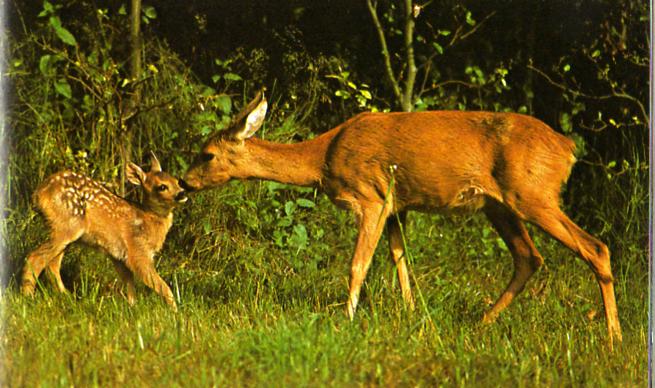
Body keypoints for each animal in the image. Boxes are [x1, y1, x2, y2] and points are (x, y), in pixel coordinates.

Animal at [22, 152, 187, 310]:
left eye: (176, 181)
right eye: (162, 187)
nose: (182, 193)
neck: (147, 219)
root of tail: (38, 194)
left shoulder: (117, 256)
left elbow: (129, 283)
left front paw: (132, 307)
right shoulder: (137, 252)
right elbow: (161, 286)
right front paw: (174, 311)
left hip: (65, 234)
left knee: (52, 265)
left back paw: (66, 298)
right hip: (66, 226)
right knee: (34, 258)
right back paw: (28, 298)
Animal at [182, 91, 624, 348]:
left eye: (207, 154)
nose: (183, 182)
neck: (322, 159)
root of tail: (567, 148)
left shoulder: (370, 197)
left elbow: (358, 264)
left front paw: (345, 320)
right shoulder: (397, 206)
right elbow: (401, 263)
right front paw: (413, 314)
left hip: (532, 194)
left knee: (595, 247)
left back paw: (613, 336)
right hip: (499, 205)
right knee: (529, 257)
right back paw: (480, 323)